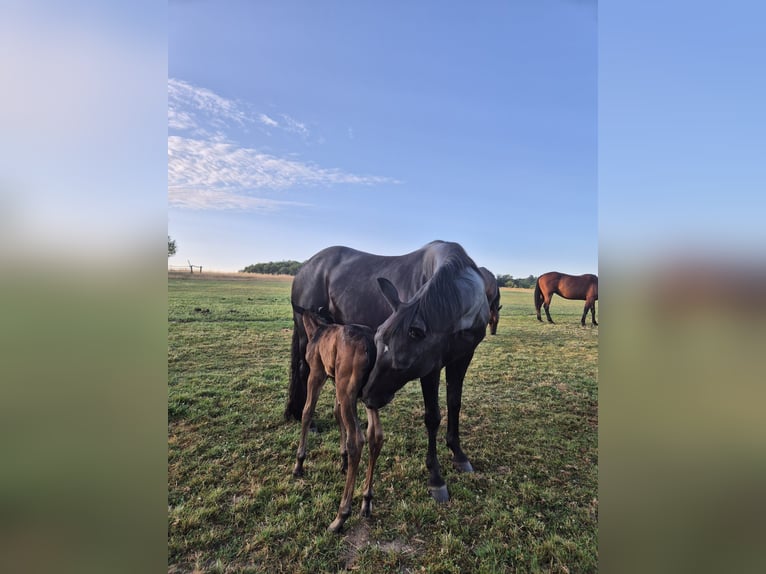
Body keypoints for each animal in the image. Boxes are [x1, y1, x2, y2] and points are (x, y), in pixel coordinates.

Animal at [287, 240, 489, 504]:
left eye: (399, 359)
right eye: (378, 341)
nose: (367, 397)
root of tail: (305, 267)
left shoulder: (462, 358)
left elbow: (454, 404)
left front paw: (459, 454)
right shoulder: (431, 367)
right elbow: (432, 416)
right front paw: (436, 478)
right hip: (306, 334)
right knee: (303, 373)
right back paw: (308, 422)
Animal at [290, 307, 383, 533]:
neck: (319, 329)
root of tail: (370, 345)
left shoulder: (317, 373)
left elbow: (307, 412)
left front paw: (299, 463)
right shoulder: (334, 380)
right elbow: (336, 413)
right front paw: (342, 460)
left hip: (347, 389)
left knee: (357, 440)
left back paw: (341, 516)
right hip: (367, 395)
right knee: (375, 436)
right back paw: (366, 501)